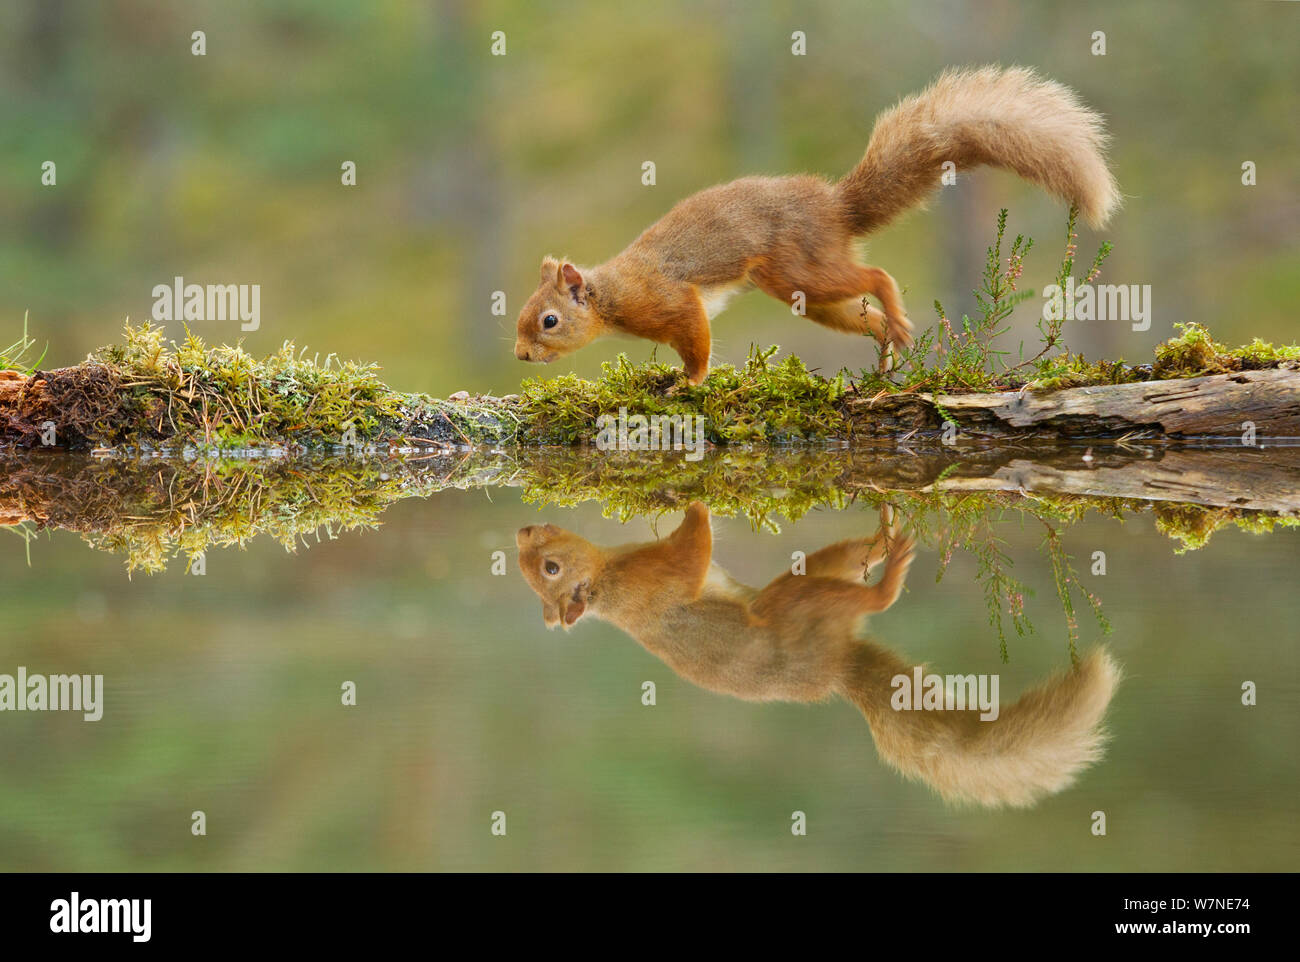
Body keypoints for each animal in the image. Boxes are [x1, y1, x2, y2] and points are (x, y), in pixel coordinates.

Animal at [514, 65, 1118, 382]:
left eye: (548, 320)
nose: (519, 355)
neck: (612, 294)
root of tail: (835, 207)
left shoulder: (670, 301)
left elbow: (697, 342)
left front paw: (687, 382)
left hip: (796, 270)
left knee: (877, 277)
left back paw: (894, 319)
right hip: (809, 295)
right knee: (869, 316)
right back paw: (886, 351)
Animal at [514, 504, 1118, 811]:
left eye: (546, 567)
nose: (523, 529)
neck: (610, 582)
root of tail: (837, 671)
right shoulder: (660, 580)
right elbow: (693, 550)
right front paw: (692, 496)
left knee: (856, 560)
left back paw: (883, 535)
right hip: (797, 605)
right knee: (872, 599)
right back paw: (894, 563)